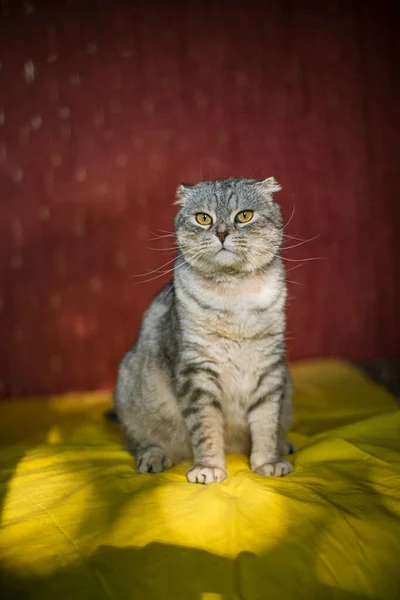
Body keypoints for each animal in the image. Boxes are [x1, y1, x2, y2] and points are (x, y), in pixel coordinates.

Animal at [115, 177, 294, 482]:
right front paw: (208, 467)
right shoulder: (196, 370)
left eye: (244, 216)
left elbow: (266, 423)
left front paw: (267, 462)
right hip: (130, 393)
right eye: (203, 218)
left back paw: (284, 445)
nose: (221, 233)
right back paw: (154, 457)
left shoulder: (270, 367)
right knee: (141, 440)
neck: (234, 294)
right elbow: (206, 428)